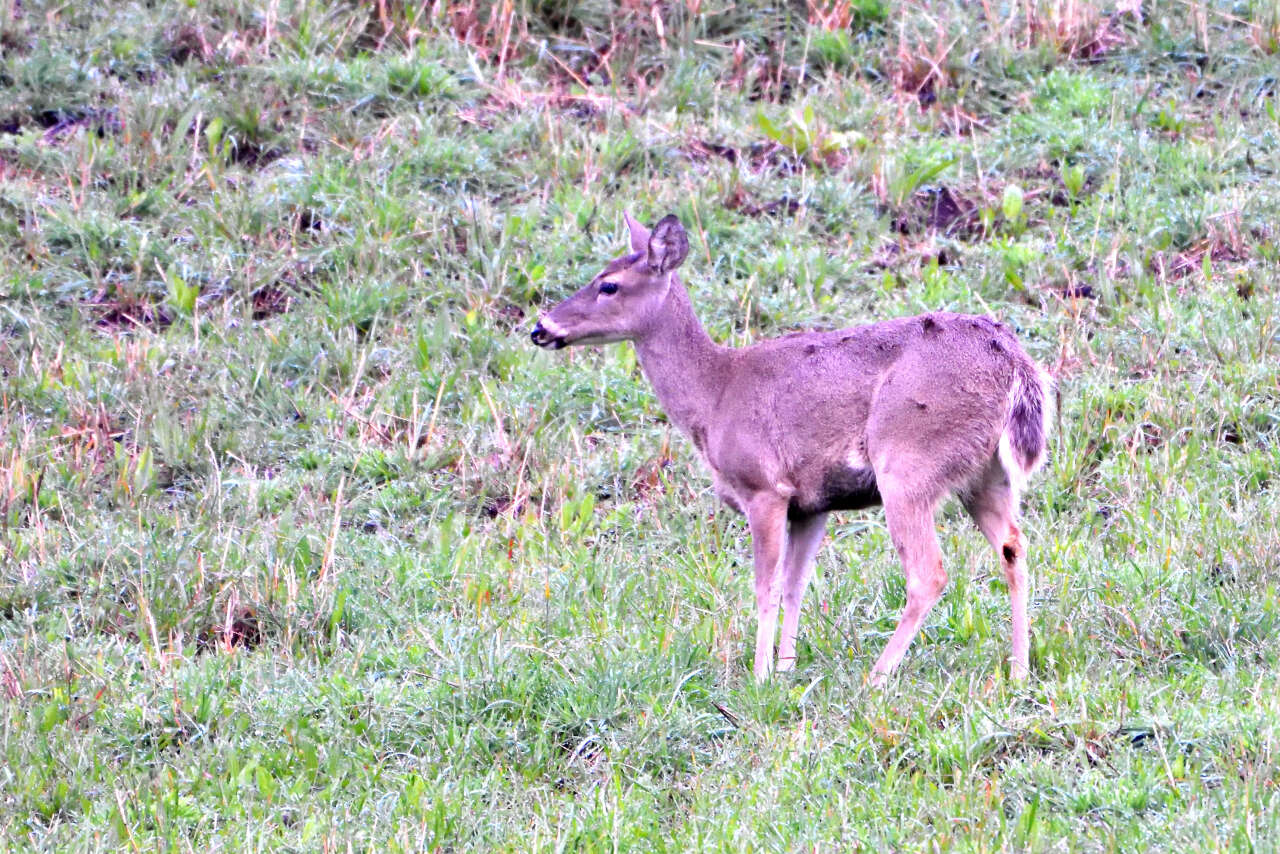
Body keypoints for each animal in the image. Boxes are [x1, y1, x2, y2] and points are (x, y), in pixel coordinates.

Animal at [529, 215, 1049, 686]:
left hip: (908, 462)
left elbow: (766, 585)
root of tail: (1015, 364)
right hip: (985, 475)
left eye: (609, 285)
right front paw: (785, 668)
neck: (713, 396)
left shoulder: (764, 487)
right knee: (1014, 547)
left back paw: (877, 678)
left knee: (929, 572)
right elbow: (796, 584)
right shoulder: (812, 503)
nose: (541, 328)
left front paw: (759, 676)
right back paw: (1019, 671)